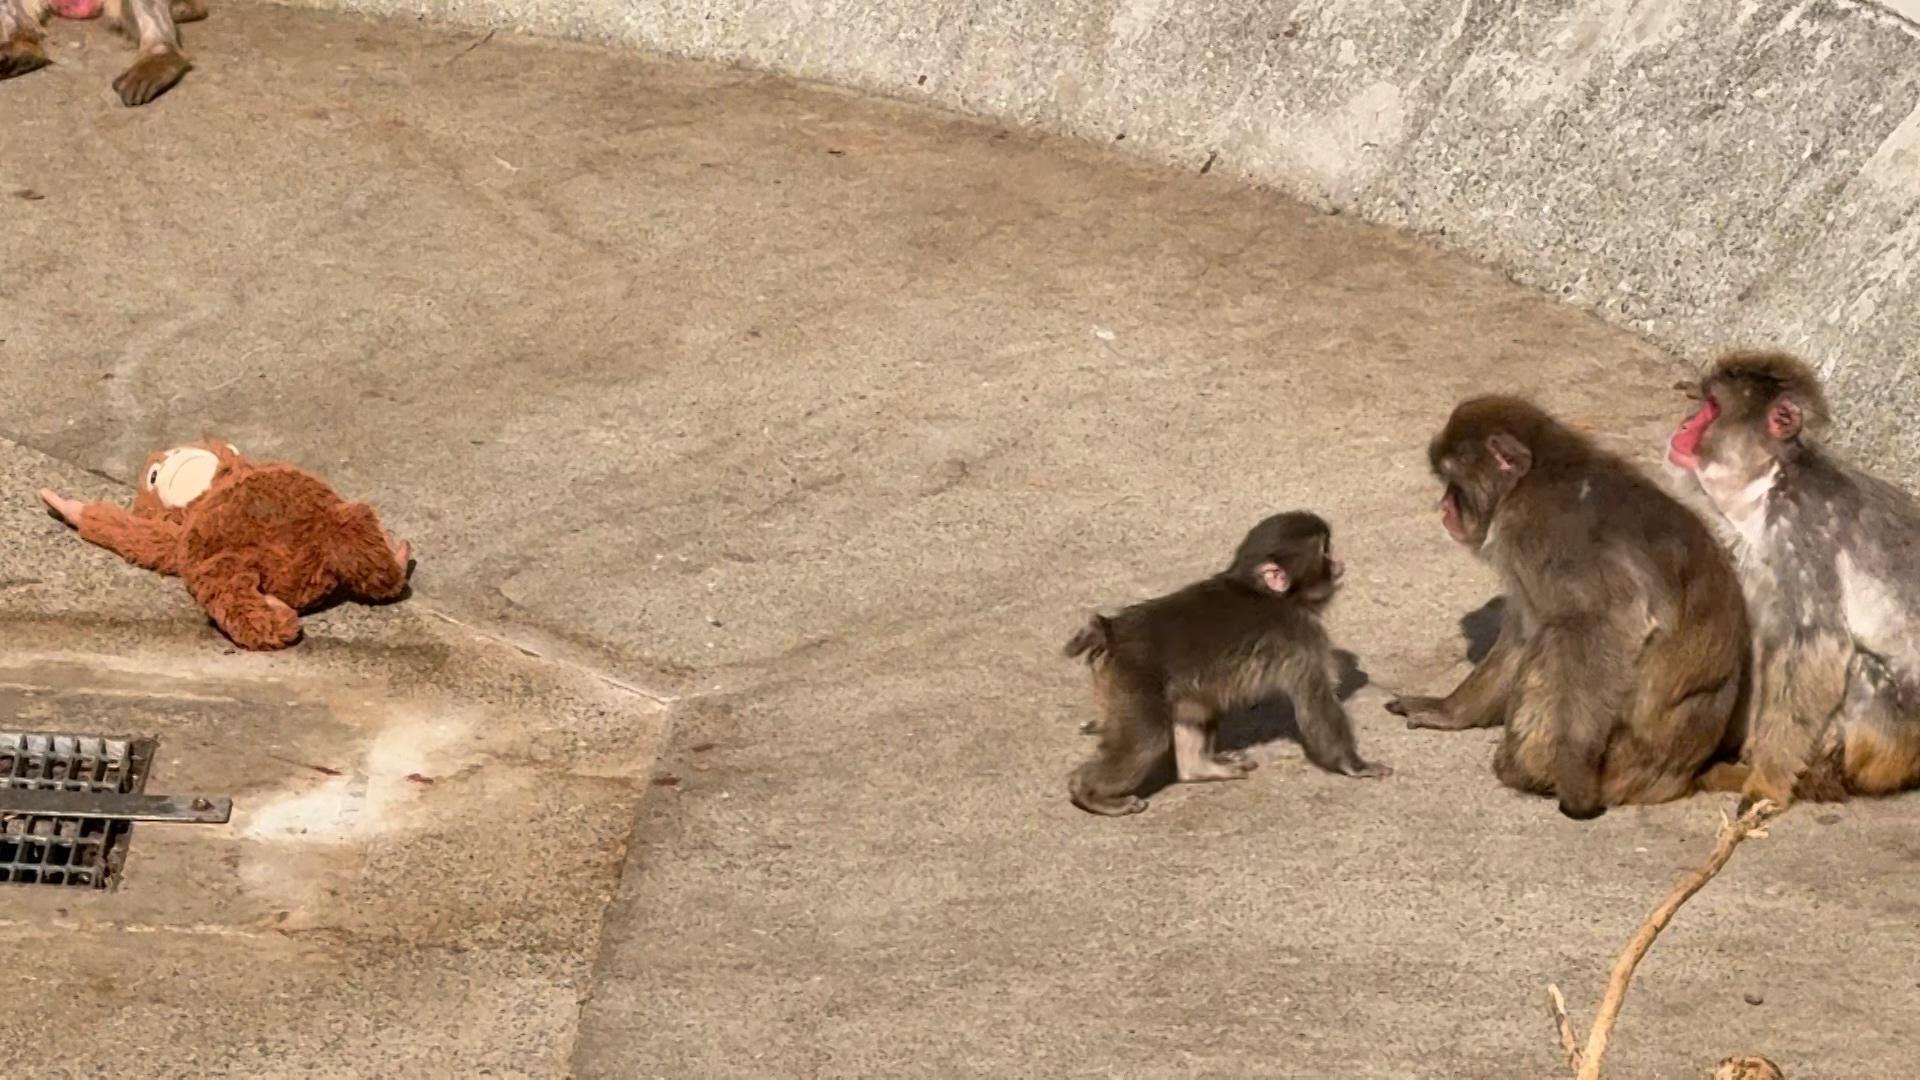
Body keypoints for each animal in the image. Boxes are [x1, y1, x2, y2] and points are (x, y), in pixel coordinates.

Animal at [1064, 511, 1391, 816]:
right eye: (1324, 550)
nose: (1338, 561)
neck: (1266, 592)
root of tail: (1113, 631)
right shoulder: (1303, 636)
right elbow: (1317, 705)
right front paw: (1355, 765)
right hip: (1134, 680)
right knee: (1146, 741)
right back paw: (1087, 793)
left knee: (1197, 708)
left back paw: (1199, 769)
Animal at [1385, 395, 1751, 819]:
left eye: (1454, 483)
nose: (1444, 507)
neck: (1530, 482)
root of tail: (1686, 774)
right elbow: (1525, 627)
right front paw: (1451, 711)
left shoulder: (1546, 536)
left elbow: (1610, 621)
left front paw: (1574, 769)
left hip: (1628, 758)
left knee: (1562, 639)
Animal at [1665, 349, 1920, 806]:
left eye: (1710, 407)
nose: (1684, 425)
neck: (1769, 483)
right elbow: (1765, 637)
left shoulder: (1801, 529)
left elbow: (1817, 644)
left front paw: (1767, 779)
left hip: (1897, 736)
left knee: (1862, 670)